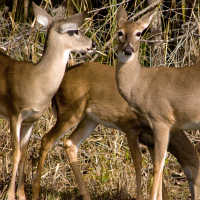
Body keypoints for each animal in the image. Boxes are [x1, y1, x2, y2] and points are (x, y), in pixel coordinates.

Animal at [0, 1, 94, 200]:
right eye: (74, 30)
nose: (92, 44)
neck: (36, 80)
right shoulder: (15, 113)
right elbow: (16, 153)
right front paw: (10, 195)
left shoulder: (31, 119)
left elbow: (24, 153)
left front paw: (22, 195)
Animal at [31, 62, 200, 200]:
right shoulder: (130, 127)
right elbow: (138, 161)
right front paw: (140, 197)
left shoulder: (151, 141)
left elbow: (159, 166)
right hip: (70, 113)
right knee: (47, 139)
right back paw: (35, 192)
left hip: (89, 120)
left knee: (70, 143)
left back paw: (86, 195)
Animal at [115, 5, 200, 199]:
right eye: (119, 32)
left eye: (139, 33)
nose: (128, 50)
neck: (140, 84)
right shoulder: (150, 128)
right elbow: (157, 164)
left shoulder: (161, 119)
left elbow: (159, 166)